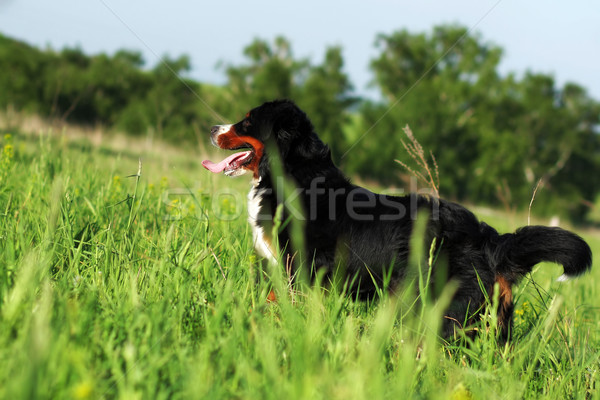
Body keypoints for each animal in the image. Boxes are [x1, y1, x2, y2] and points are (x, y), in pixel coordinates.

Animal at [202, 98, 592, 340]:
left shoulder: (300, 270)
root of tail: (488, 238)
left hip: (443, 312)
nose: (211, 128)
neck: (297, 174)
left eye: (247, 121)